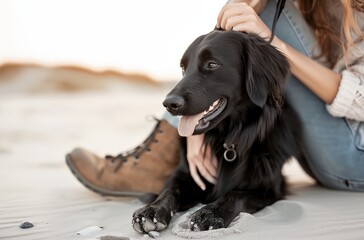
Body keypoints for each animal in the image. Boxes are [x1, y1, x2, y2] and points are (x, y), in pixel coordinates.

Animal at [131, 29, 304, 232]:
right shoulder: (186, 173)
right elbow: (170, 189)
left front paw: (210, 213)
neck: (228, 137)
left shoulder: (269, 188)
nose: (169, 104)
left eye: (212, 64)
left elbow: (236, 194)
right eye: (183, 68)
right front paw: (152, 209)